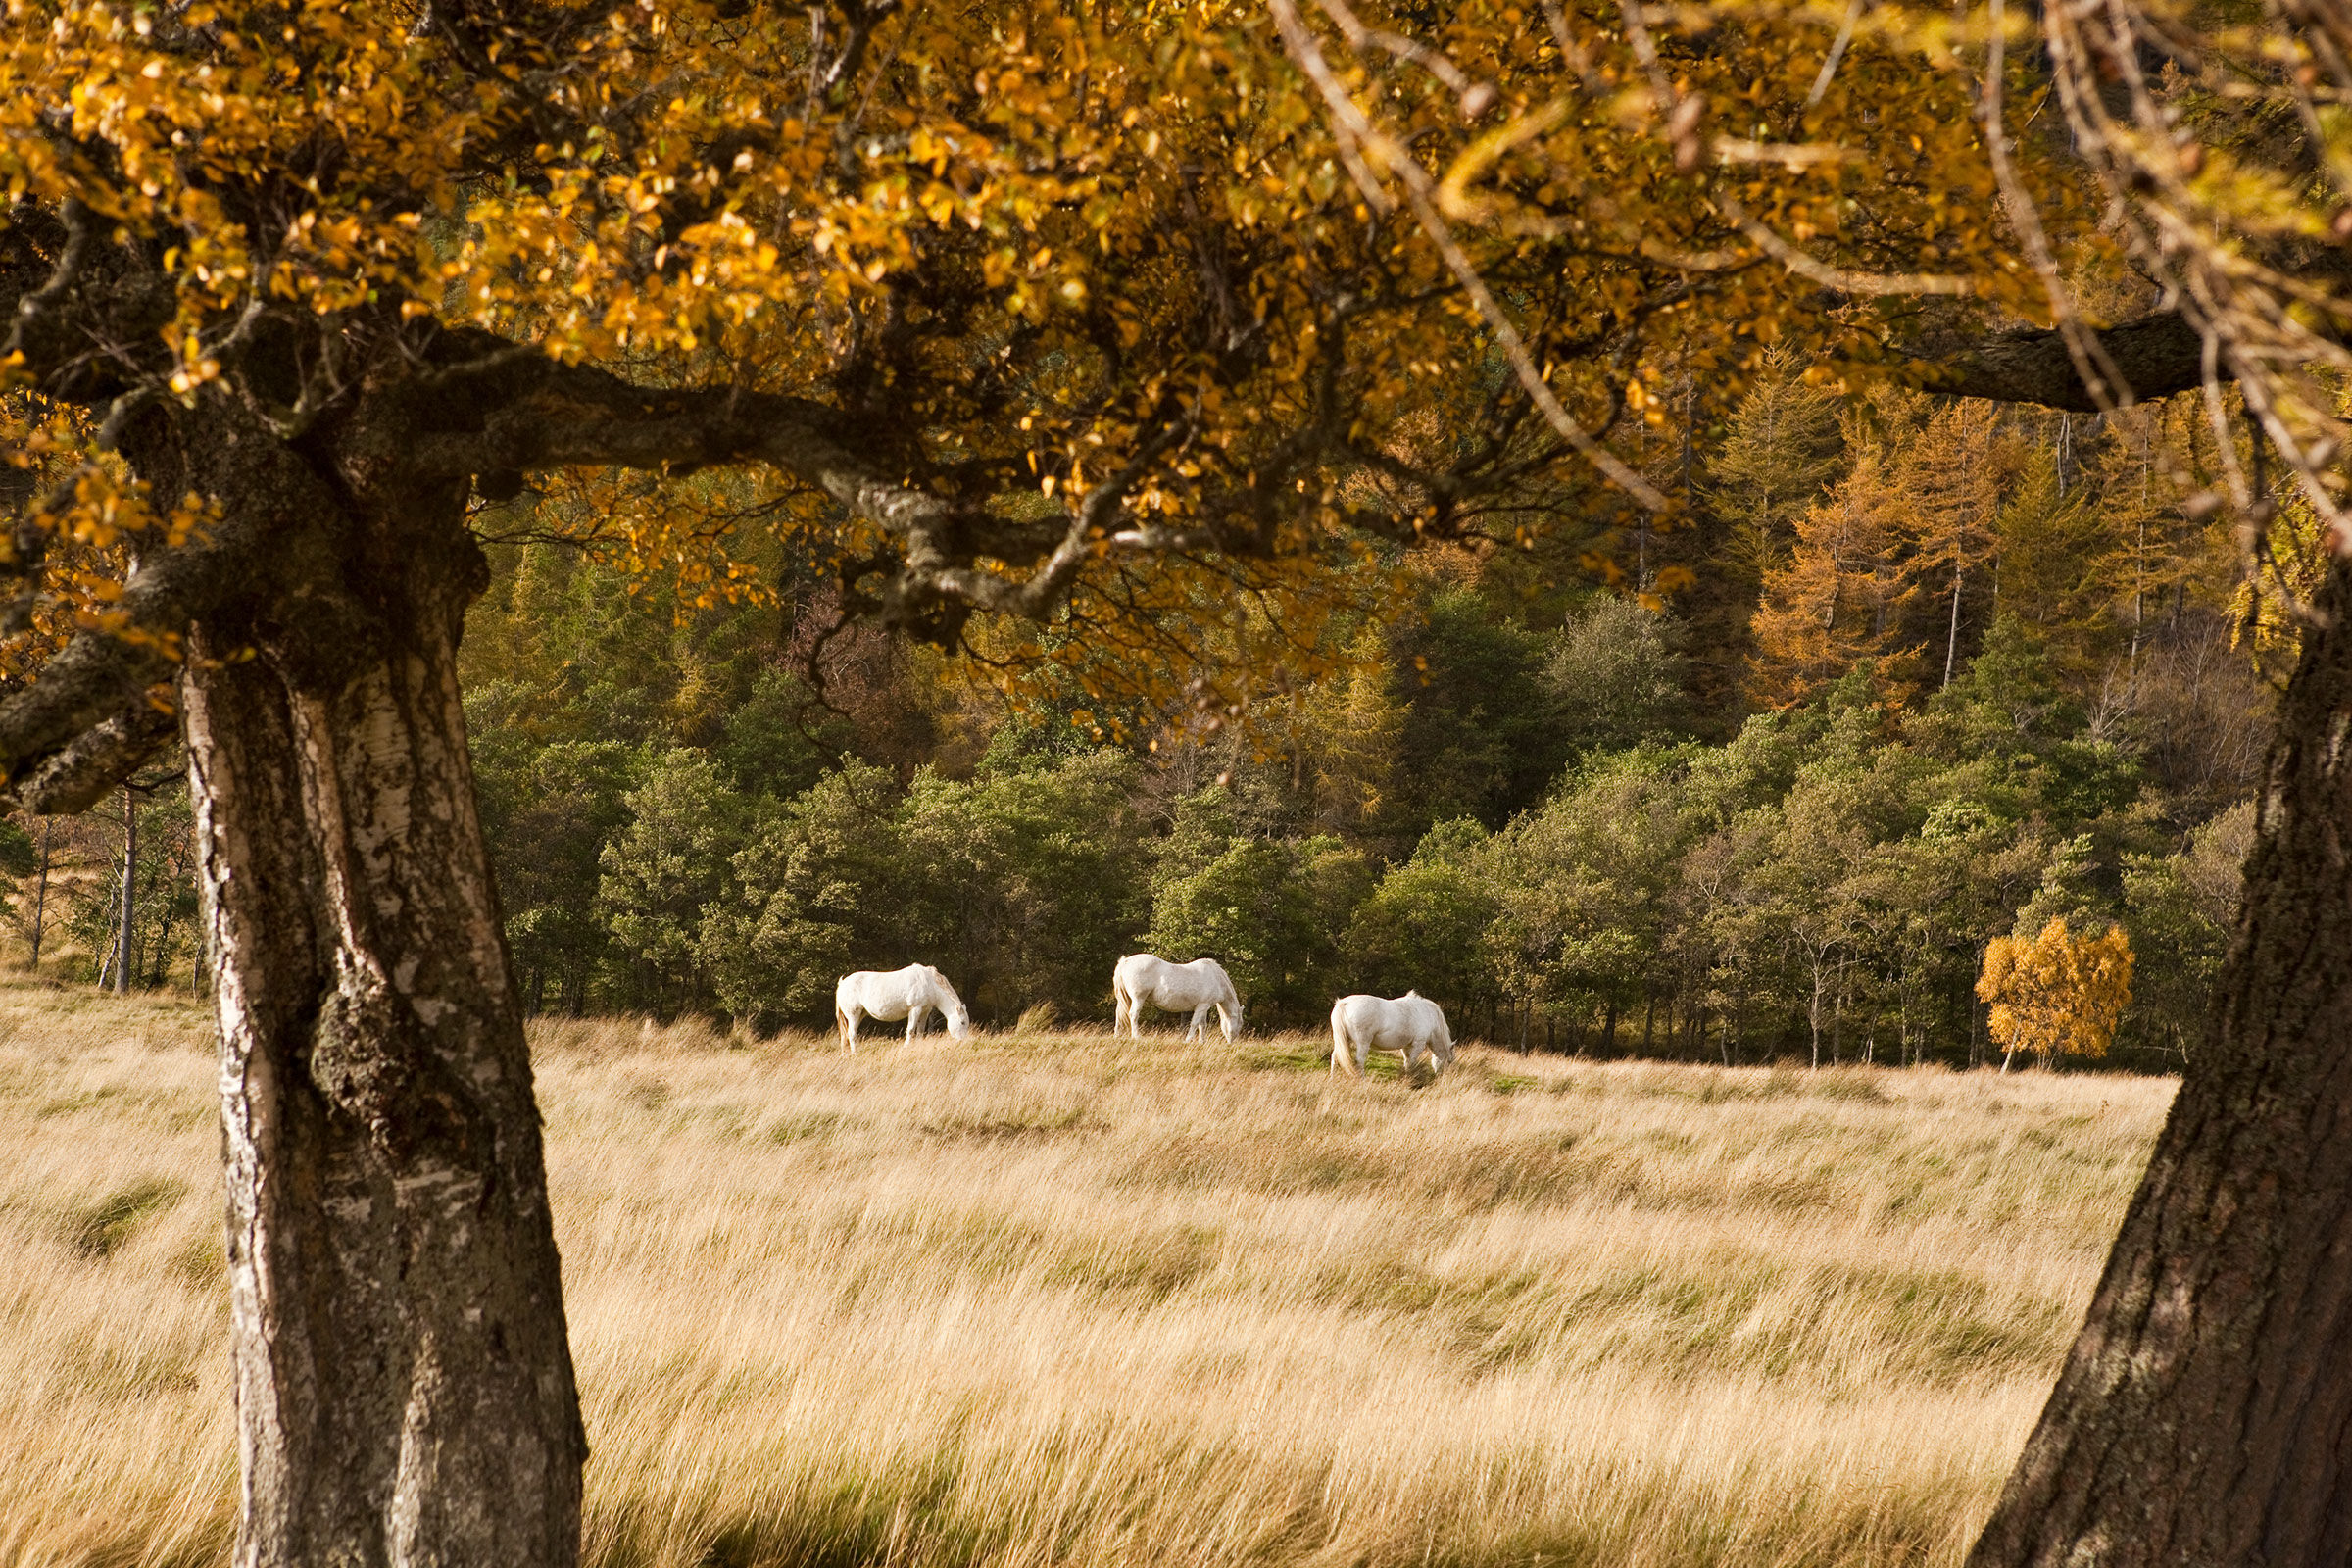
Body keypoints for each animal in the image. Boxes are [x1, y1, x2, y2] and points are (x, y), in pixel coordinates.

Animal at [832, 963, 968, 1048]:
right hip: (853, 1014)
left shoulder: (925, 1011)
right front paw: (906, 1047)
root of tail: (842, 983)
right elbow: (911, 1030)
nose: (962, 1042)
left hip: (860, 1014)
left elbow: (920, 1031)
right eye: (962, 1022)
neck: (929, 982)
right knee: (851, 1034)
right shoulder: (915, 1009)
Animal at [1105, 958, 1242, 1044]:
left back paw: (1117, 1036)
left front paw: (1202, 1042)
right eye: (1240, 1023)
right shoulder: (1202, 1006)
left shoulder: (1204, 1007)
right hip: (1138, 998)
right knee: (1133, 1015)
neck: (1216, 978)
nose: (1231, 1043)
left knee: (1119, 1015)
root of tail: (1125, 961)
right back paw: (1136, 1037)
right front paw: (1187, 1040)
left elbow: (1202, 1025)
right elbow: (1194, 1024)